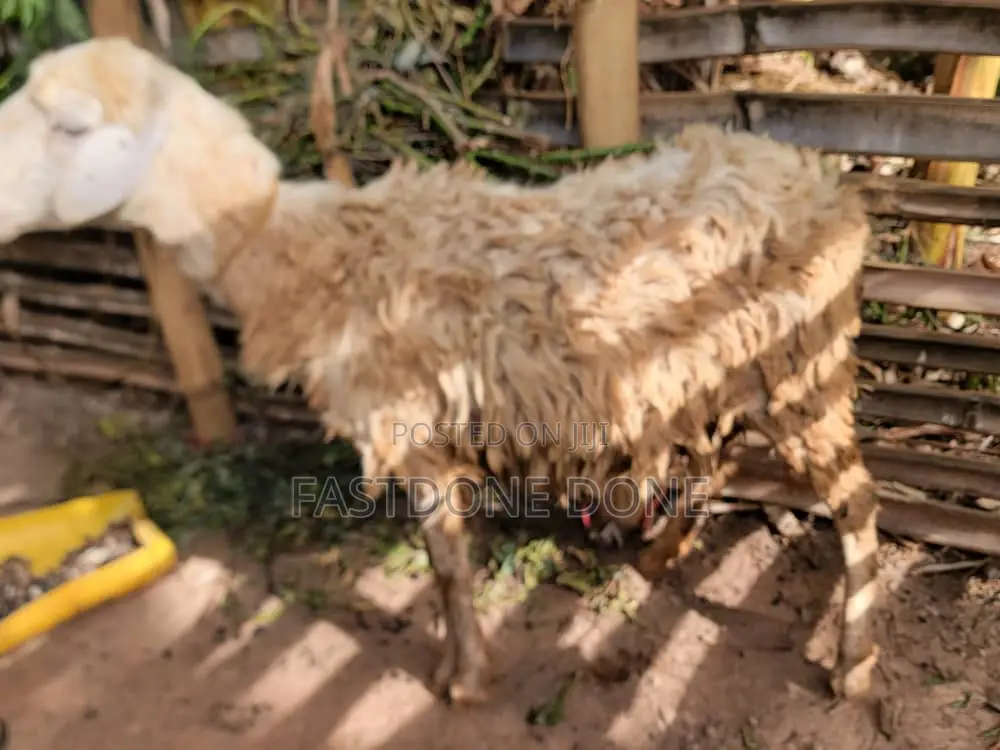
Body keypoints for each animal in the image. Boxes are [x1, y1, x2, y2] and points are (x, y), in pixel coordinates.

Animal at [0, 37, 881, 705]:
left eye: (72, 125)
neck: (299, 250)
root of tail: (822, 178)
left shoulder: (412, 431)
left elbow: (447, 567)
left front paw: (460, 676)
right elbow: (448, 561)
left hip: (807, 365)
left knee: (854, 503)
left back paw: (853, 666)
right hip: (722, 371)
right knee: (715, 459)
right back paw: (661, 558)